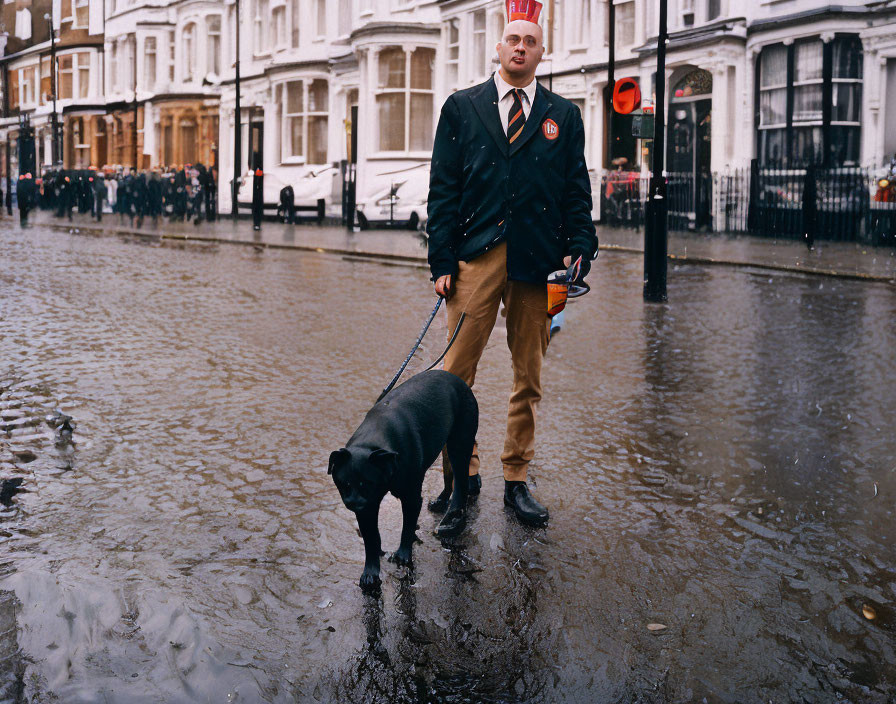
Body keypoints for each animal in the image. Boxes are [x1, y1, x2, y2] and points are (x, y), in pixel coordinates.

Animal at [328, 372, 480, 592]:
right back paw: (441, 500)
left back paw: (453, 515)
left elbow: (407, 526)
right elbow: (371, 539)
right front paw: (370, 573)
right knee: (449, 475)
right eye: (344, 484)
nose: (354, 503)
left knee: (461, 482)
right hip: (446, 446)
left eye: (368, 483)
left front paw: (403, 554)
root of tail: (458, 380)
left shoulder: (410, 498)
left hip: (460, 444)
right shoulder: (368, 508)